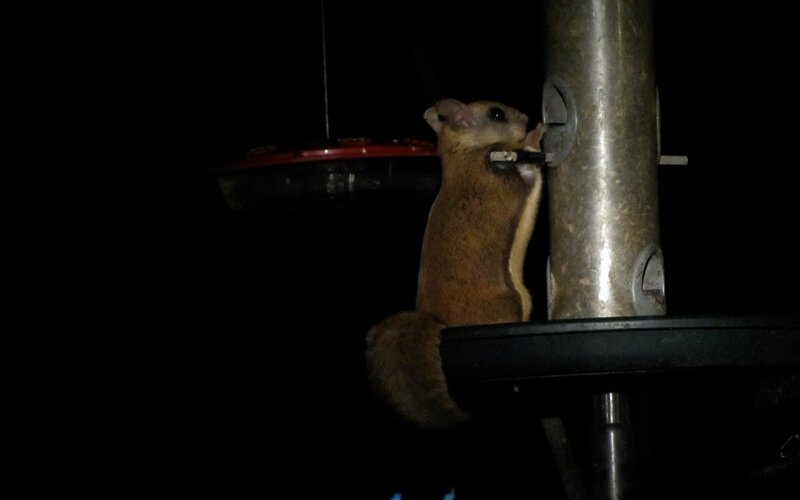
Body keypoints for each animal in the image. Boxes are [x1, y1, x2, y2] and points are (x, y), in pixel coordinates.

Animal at [366, 99, 545, 429]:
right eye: (497, 114)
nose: (526, 118)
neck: (463, 153)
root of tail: (441, 324)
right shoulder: (498, 173)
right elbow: (526, 164)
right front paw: (534, 135)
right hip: (508, 304)